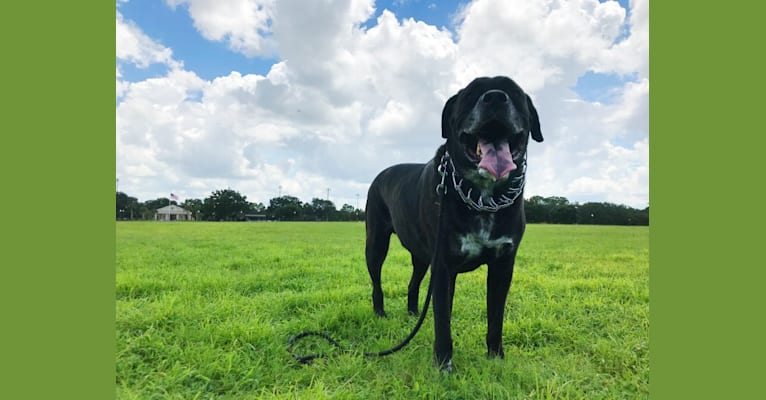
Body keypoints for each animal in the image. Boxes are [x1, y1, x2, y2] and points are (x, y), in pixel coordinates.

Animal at [364, 76, 540, 372]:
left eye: (514, 92)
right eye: (470, 94)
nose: (495, 97)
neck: (483, 197)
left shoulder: (503, 265)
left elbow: (495, 318)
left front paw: (496, 358)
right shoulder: (444, 266)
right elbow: (442, 320)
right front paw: (444, 364)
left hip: (422, 257)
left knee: (413, 283)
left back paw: (413, 313)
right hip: (376, 244)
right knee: (377, 282)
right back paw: (380, 312)